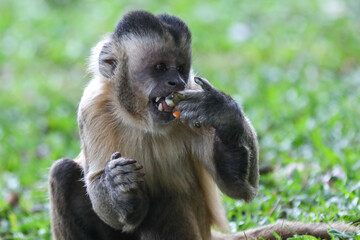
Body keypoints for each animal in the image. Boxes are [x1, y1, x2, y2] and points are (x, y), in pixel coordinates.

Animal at [48, 9, 358, 240]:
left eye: (180, 68)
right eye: (160, 67)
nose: (175, 82)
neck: (143, 121)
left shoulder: (193, 93)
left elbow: (240, 188)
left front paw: (223, 115)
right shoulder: (92, 108)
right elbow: (106, 202)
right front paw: (119, 184)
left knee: (169, 196)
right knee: (62, 172)